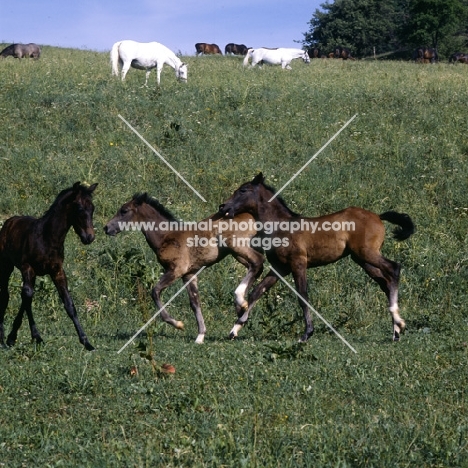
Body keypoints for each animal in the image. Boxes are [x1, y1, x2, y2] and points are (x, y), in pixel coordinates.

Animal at [0, 183, 97, 352]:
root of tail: (9, 221)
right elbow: (27, 296)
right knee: (7, 295)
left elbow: (69, 304)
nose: (89, 237)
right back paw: (4, 338)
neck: (48, 238)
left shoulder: (57, 271)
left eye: (92, 208)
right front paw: (22, 337)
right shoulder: (28, 268)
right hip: (6, 265)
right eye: (79, 208)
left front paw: (86, 342)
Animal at [103, 194, 264, 344]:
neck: (166, 237)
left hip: (237, 246)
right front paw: (200, 336)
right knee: (256, 269)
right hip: (237, 254)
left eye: (124, 211)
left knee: (258, 262)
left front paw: (178, 324)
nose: (106, 228)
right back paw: (241, 307)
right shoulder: (189, 274)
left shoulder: (176, 270)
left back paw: (240, 305)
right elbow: (194, 302)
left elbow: (155, 291)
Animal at [218, 174, 414, 342]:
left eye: (243, 190)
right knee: (385, 282)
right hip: (363, 260)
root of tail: (378, 216)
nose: (223, 207)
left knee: (394, 268)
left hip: (367, 254)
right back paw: (396, 331)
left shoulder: (298, 263)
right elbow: (256, 292)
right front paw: (235, 329)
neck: (280, 225)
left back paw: (399, 324)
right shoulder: (280, 268)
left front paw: (307, 334)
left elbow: (302, 296)